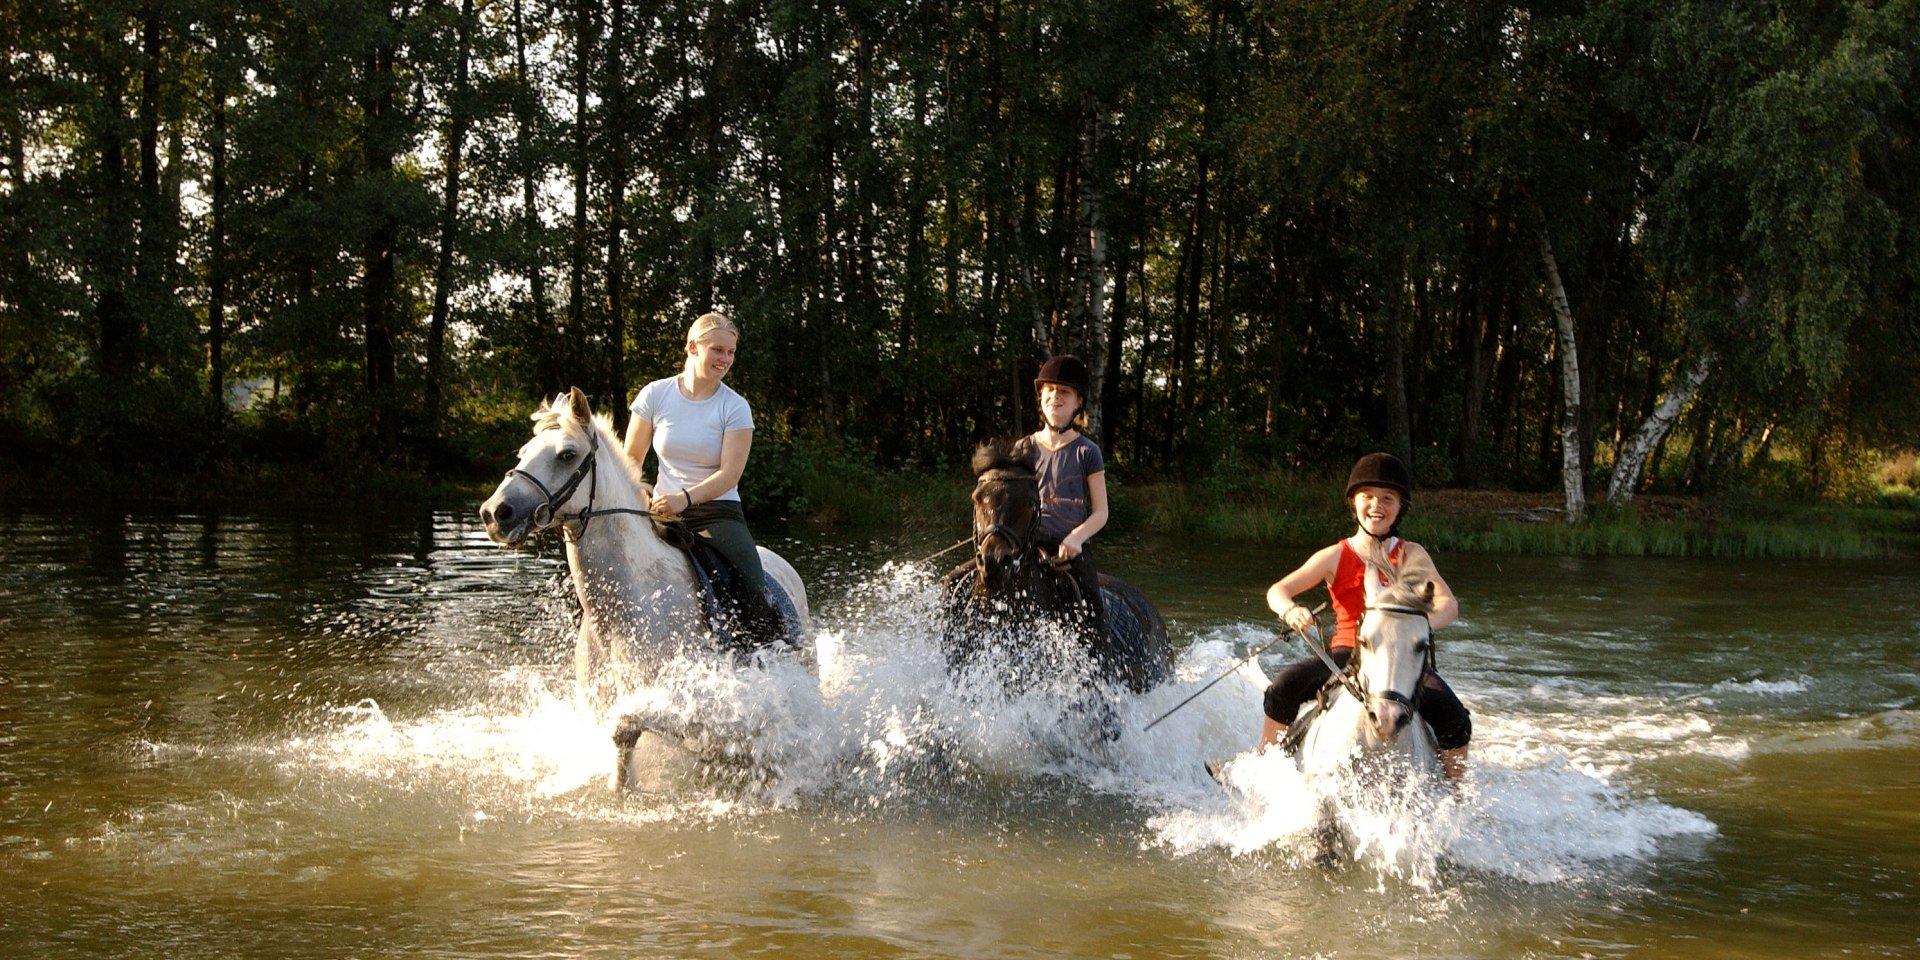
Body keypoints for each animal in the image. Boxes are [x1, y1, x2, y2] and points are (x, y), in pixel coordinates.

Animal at [483, 385, 814, 783]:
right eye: (524, 452)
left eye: (567, 454)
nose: (495, 513)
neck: (628, 605)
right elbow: (620, 744)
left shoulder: (692, 704)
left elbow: (624, 727)